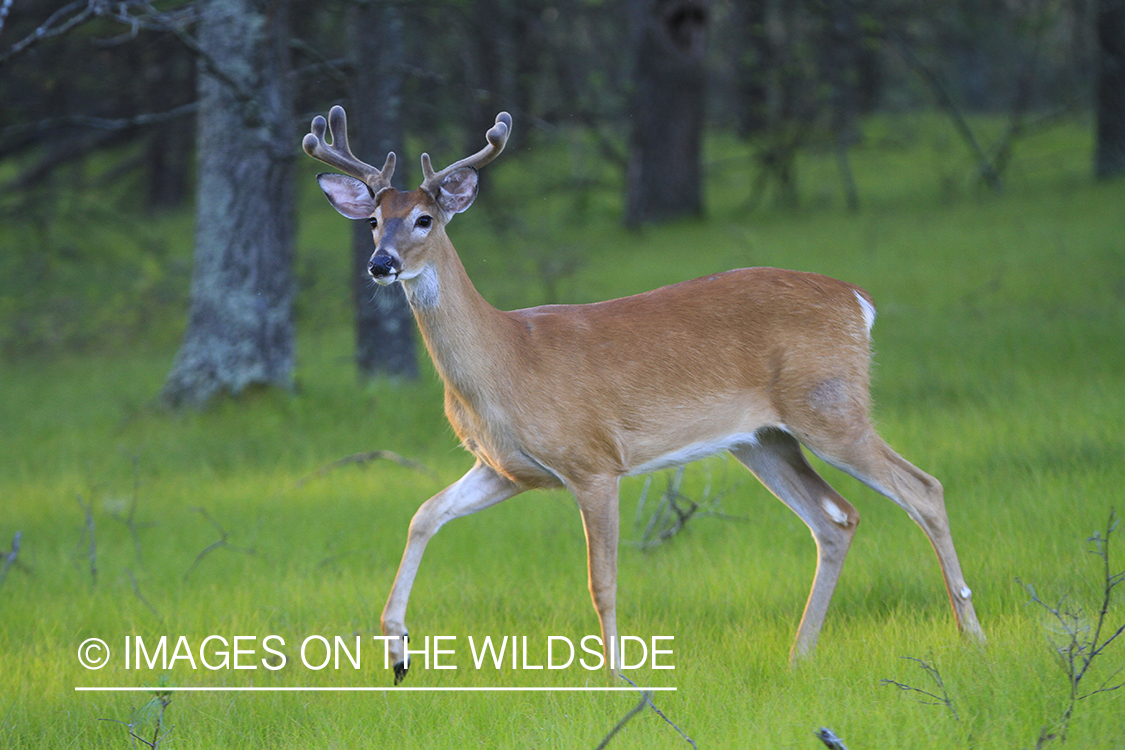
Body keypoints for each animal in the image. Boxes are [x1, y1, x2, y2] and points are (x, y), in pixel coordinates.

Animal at [303, 106, 981, 688]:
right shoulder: (507, 468)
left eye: (425, 219)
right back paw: (799, 656)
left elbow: (600, 582)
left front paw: (617, 680)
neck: (508, 360)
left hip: (831, 408)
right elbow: (423, 514)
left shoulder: (594, 462)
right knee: (836, 518)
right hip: (763, 439)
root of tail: (859, 300)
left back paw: (970, 636)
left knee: (924, 489)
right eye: (372, 221)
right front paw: (397, 651)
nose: (381, 264)